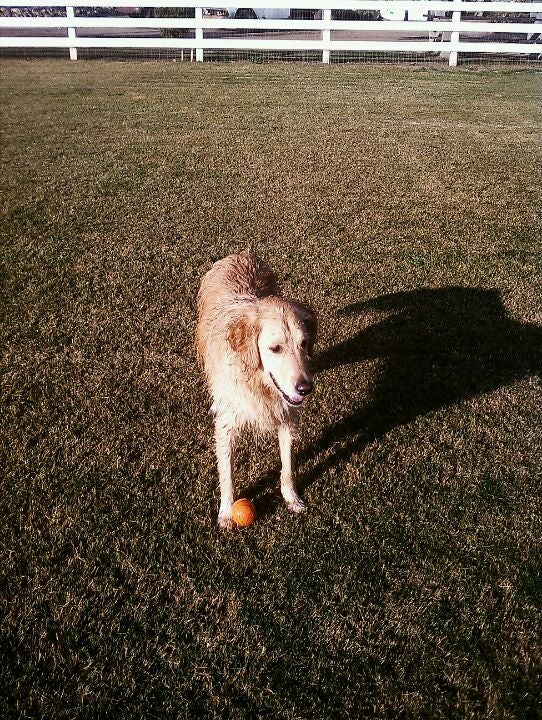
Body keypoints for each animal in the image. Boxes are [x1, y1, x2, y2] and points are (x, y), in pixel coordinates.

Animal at [196, 252, 317, 529]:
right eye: (275, 348)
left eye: (304, 344)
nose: (305, 388)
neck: (258, 384)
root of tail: (239, 254)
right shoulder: (226, 427)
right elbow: (227, 475)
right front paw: (226, 513)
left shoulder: (287, 418)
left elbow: (287, 467)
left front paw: (291, 498)